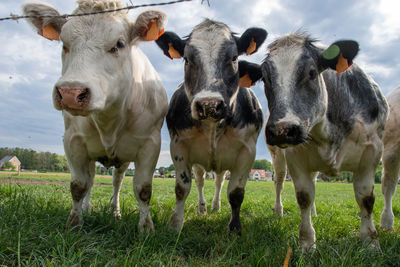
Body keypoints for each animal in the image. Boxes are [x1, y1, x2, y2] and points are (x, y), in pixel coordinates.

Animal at [23, 0, 167, 233]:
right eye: (64, 44)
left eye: (119, 43)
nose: (70, 93)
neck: (109, 119)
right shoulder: (73, 141)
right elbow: (78, 185)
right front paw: (74, 223)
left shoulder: (151, 144)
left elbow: (143, 189)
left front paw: (146, 228)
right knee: (90, 179)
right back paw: (88, 208)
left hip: (122, 160)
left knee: (117, 182)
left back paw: (115, 212)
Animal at [155, 18, 266, 233]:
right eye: (187, 59)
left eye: (234, 58)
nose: (209, 105)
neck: (213, 127)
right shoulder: (178, 145)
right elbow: (182, 188)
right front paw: (175, 224)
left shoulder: (247, 151)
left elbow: (236, 193)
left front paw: (234, 228)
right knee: (200, 181)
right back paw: (203, 208)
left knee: (219, 182)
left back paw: (215, 206)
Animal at [239, 33, 390, 251]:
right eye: (265, 78)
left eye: (311, 73)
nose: (282, 129)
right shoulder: (295, 156)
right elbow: (304, 196)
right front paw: (307, 243)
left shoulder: (372, 153)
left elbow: (366, 198)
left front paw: (370, 242)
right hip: (277, 155)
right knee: (279, 181)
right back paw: (279, 210)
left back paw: (314, 213)